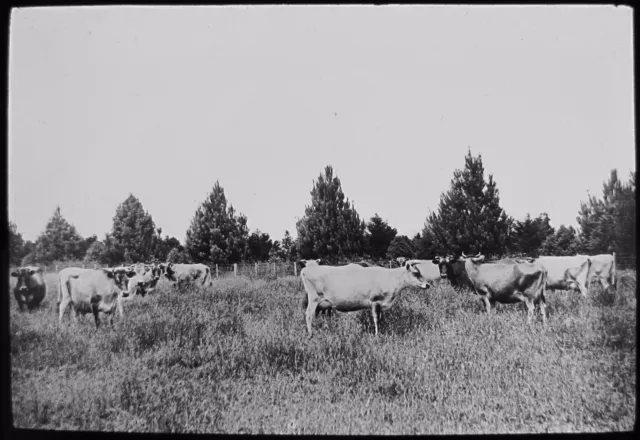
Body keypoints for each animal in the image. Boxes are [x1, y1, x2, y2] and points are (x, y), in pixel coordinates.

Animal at [300, 260, 440, 338]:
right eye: (416, 273)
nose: (427, 285)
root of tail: (306, 269)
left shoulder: (381, 304)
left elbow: (382, 319)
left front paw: (384, 330)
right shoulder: (374, 301)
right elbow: (376, 319)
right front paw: (377, 335)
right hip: (313, 298)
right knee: (308, 314)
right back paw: (310, 334)